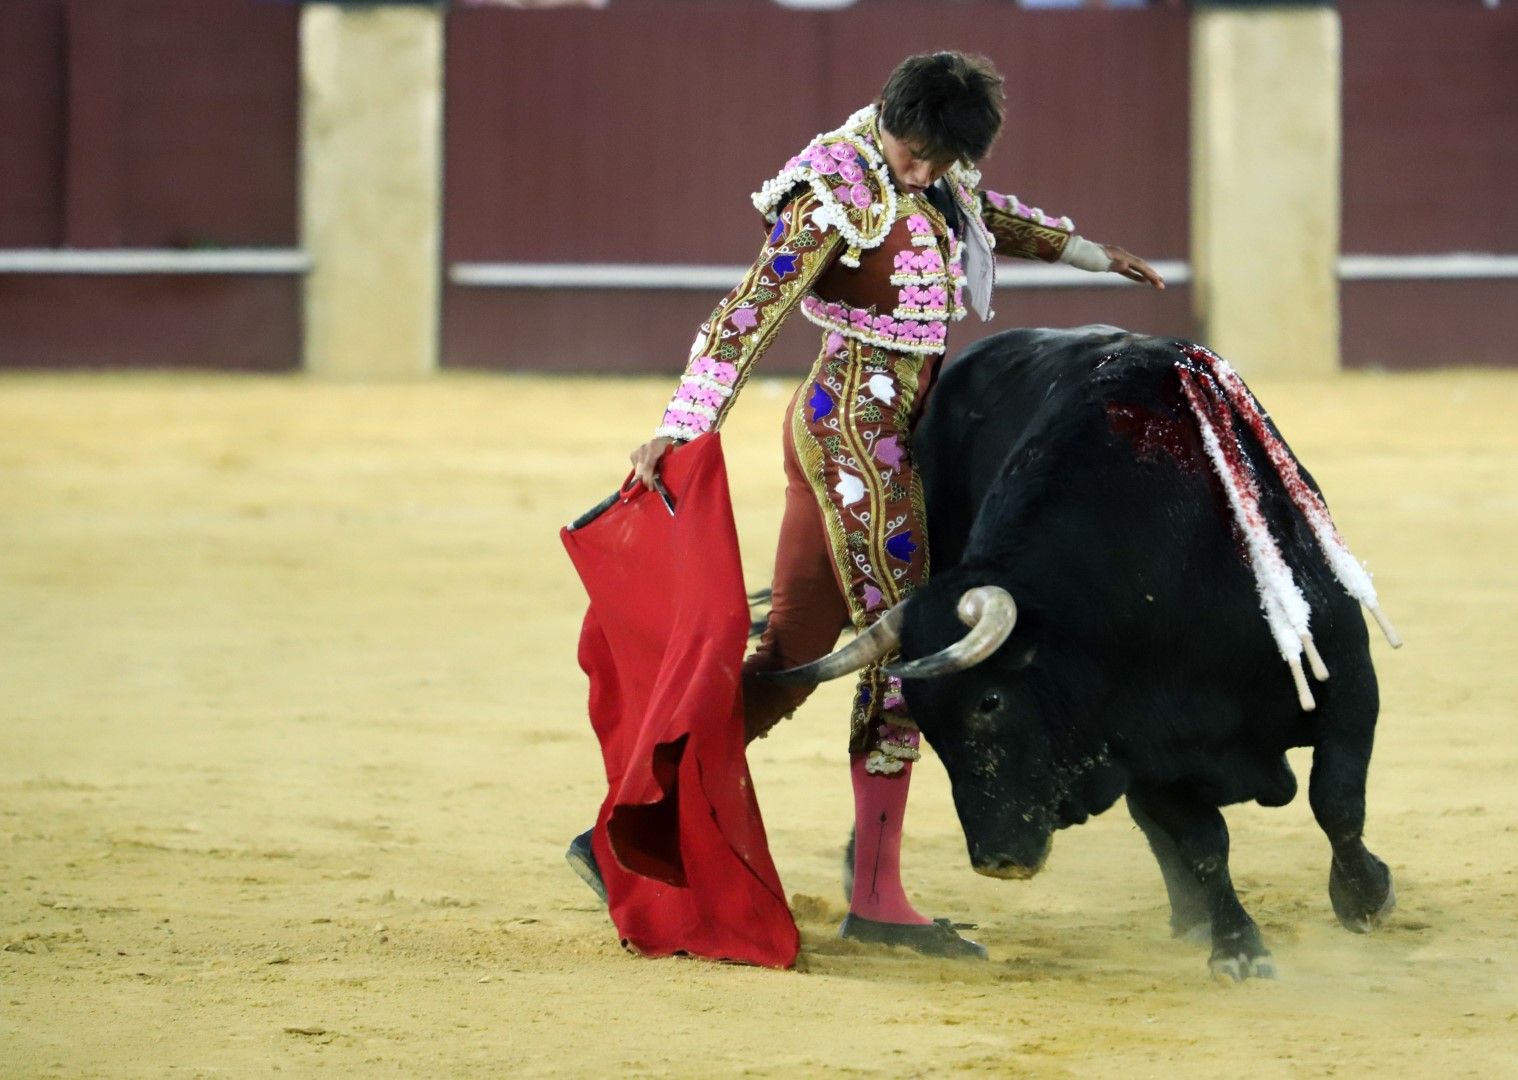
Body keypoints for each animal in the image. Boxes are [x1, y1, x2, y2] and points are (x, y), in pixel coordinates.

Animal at [771, 325, 1396, 984]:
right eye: (928, 720)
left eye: (990, 701)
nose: (997, 860)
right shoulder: (1139, 739)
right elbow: (1202, 843)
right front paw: (1238, 947)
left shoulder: (1349, 682)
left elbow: (1337, 802)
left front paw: (1366, 898)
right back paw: (1191, 918)